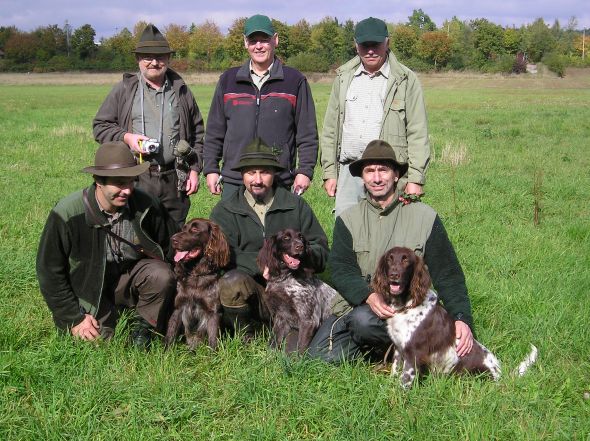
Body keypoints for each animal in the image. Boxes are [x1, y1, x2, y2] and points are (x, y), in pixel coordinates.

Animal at [374, 246, 540, 386]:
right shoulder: (398, 347)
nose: (393, 275)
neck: (405, 305)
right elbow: (395, 370)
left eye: (406, 260)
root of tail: (501, 375)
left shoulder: (414, 354)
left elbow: (404, 381)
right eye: (389, 258)